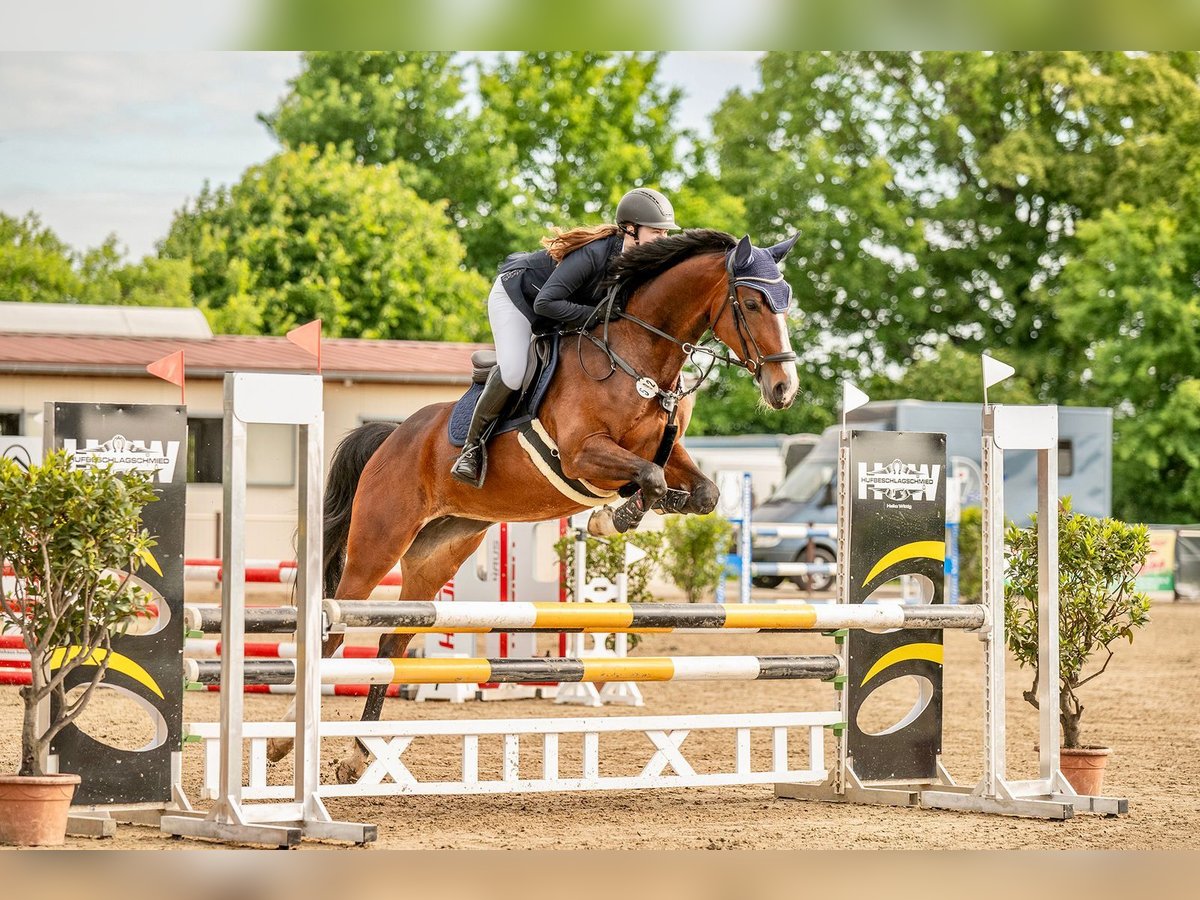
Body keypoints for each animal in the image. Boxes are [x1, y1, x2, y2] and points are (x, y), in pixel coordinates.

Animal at [268, 229, 802, 781]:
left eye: (787, 303)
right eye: (752, 302)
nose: (784, 390)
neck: (641, 357)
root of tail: (392, 435)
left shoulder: (668, 452)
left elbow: (701, 493)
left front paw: (630, 513)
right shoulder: (583, 454)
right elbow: (648, 479)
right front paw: (613, 518)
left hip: (438, 552)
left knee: (391, 644)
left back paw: (357, 756)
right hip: (379, 542)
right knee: (332, 634)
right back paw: (284, 743)